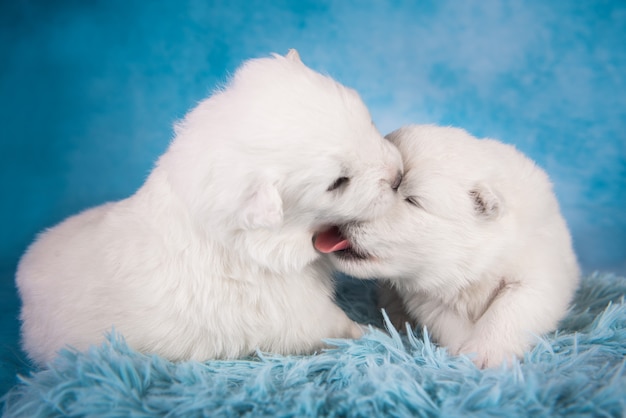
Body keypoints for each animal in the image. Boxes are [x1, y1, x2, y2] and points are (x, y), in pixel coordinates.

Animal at [18, 50, 404, 368]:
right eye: (338, 182)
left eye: (369, 123)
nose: (399, 177)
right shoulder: (295, 310)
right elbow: (336, 324)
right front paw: (379, 336)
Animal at [316, 125, 580, 370]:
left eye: (413, 200)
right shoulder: (427, 294)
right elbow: (447, 320)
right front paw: (465, 352)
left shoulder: (539, 273)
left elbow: (511, 308)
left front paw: (484, 354)